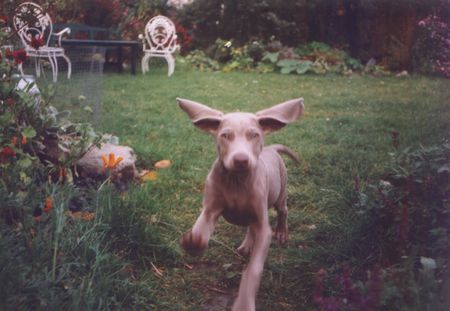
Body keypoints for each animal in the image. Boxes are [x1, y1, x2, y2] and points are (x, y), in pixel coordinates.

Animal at [178, 98, 304, 311]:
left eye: (255, 135)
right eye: (225, 135)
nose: (241, 160)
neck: (236, 180)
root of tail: (272, 149)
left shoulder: (263, 227)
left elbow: (254, 269)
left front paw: (244, 302)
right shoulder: (210, 209)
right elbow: (201, 231)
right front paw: (192, 243)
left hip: (280, 193)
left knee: (283, 211)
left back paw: (281, 232)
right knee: (249, 227)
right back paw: (246, 245)